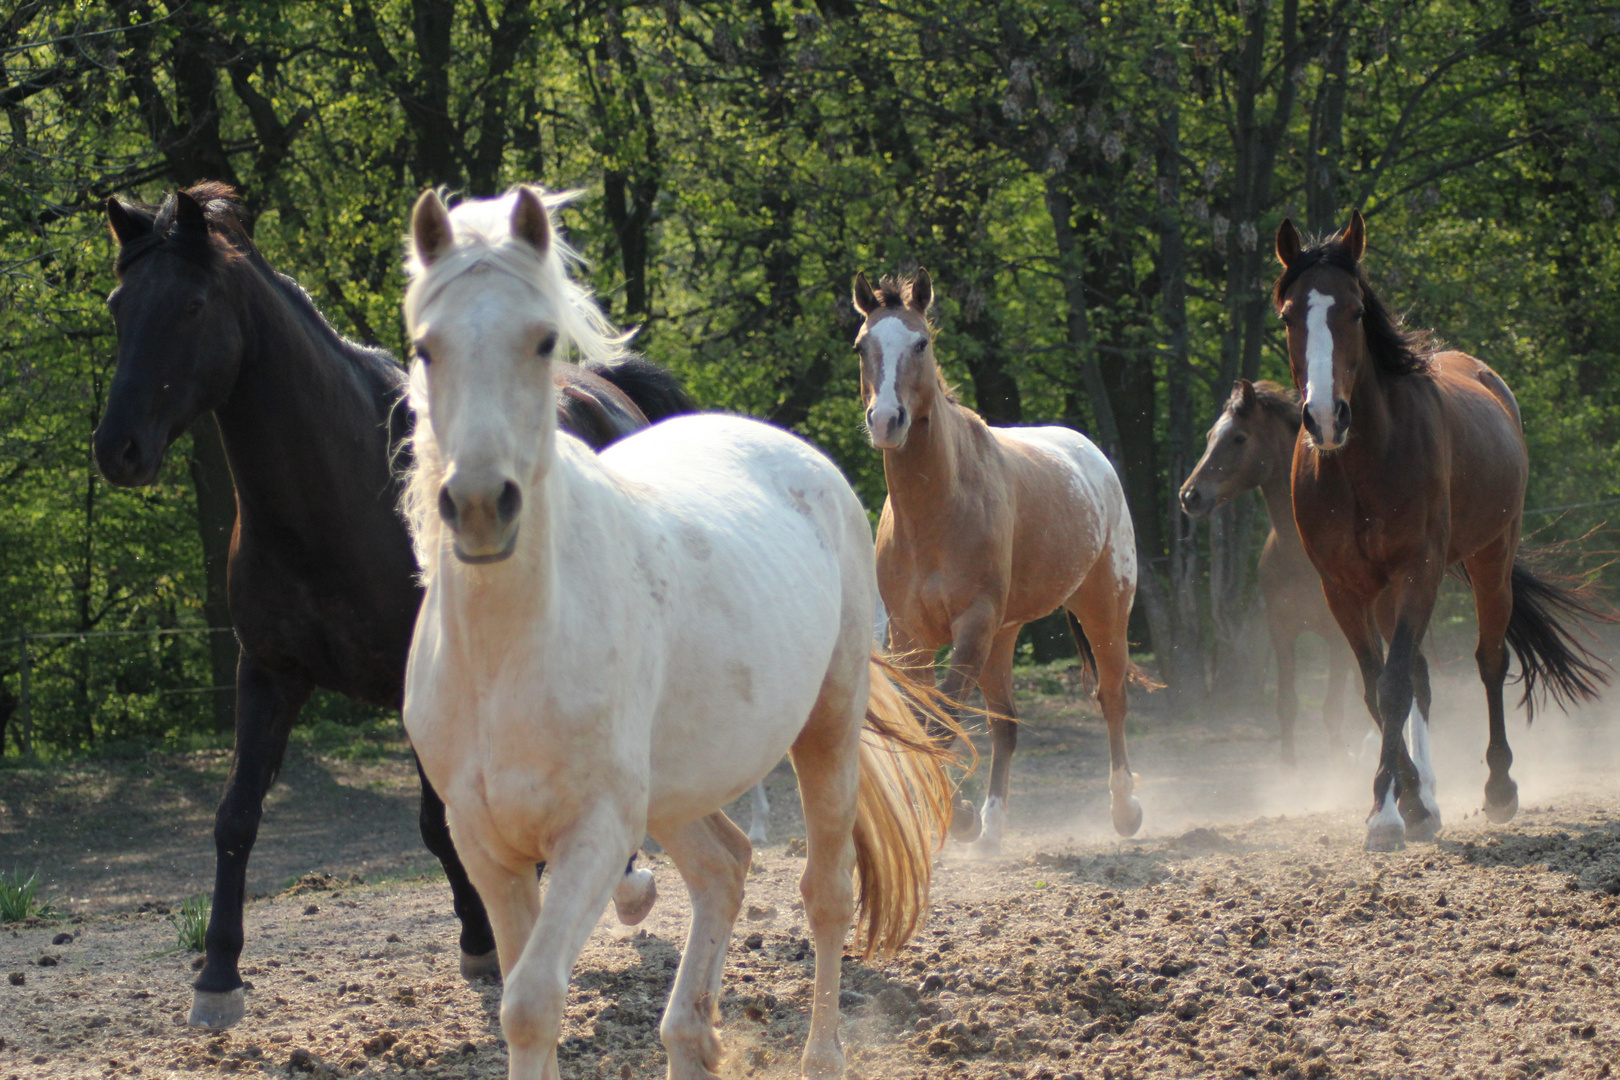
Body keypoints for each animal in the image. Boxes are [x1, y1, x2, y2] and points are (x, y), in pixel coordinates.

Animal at [94, 181, 690, 1029]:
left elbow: (437, 824)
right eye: (119, 305)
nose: (118, 449)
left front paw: (482, 940)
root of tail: (609, 393)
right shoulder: (267, 672)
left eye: (194, 304)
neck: (334, 495)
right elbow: (236, 816)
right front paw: (217, 974)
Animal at [405, 187, 959, 1080]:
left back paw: (821, 1055)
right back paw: (692, 1038)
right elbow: (520, 997)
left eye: (544, 340)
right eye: (425, 345)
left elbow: (531, 1003)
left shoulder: (596, 833)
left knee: (826, 894)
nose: (483, 504)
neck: (508, 652)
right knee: (725, 868)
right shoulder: (485, 843)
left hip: (826, 730)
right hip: (678, 786)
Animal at [848, 270, 1140, 854]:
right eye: (861, 346)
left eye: (922, 343)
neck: (936, 512)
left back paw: (1125, 811)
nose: (887, 420)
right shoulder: (910, 636)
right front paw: (961, 817)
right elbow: (927, 720)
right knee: (1006, 723)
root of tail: (1093, 458)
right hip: (1003, 637)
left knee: (1113, 697)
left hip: (1103, 609)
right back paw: (992, 830)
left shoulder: (973, 624)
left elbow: (943, 720)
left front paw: (957, 817)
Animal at [1179, 380, 1354, 767]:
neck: (1300, 558)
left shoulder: (1339, 636)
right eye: (1211, 435)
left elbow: (1334, 711)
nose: (1190, 495)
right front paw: (1288, 772)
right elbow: (1286, 706)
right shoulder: (1281, 631)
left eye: (1239, 438)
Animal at [1276, 213, 1607, 854]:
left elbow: (1394, 687)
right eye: (1287, 315)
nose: (1326, 417)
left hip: (1490, 559)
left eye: (1356, 310)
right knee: (1420, 677)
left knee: (1489, 659)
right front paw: (1408, 805)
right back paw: (1424, 796)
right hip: (1386, 591)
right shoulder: (1343, 589)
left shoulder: (1419, 571)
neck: (1361, 466)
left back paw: (1499, 787)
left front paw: (1384, 815)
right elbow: (1377, 687)